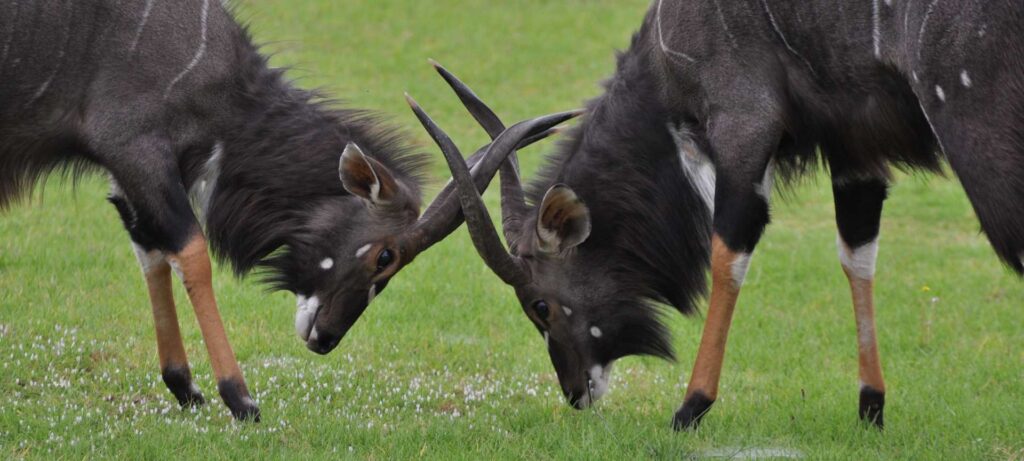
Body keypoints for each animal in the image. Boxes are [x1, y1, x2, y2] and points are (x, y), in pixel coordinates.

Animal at [0, 0, 569, 420]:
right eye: (385, 256)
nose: (325, 339)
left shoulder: (129, 176)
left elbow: (152, 254)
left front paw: (184, 388)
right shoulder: (136, 149)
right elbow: (191, 253)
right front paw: (240, 398)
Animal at [421, 0, 1015, 432]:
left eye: (540, 305)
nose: (575, 393)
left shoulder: (743, 128)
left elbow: (728, 254)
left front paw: (691, 407)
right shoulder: (855, 150)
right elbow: (857, 255)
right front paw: (871, 407)